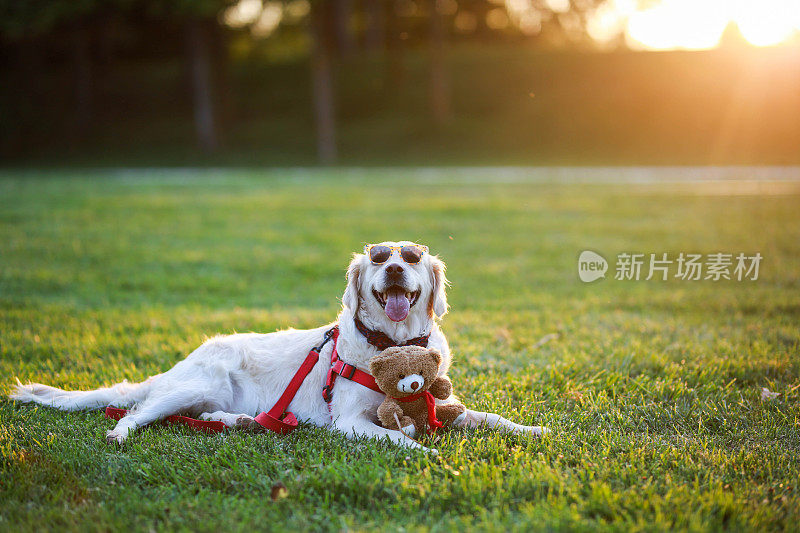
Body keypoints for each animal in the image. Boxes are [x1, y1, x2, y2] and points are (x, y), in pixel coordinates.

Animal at [12, 243, 548, 450]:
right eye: (378, 260)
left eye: (412, 258)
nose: (395, 267)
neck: (392, 346)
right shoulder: (350, 421)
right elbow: (399, 437)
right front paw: (423, 452)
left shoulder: (445, 402)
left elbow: (489, 418)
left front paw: (532, 429)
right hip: (194, 384)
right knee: (137, 412)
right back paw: (120, 434)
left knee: (201, 417)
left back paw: (236, 421)